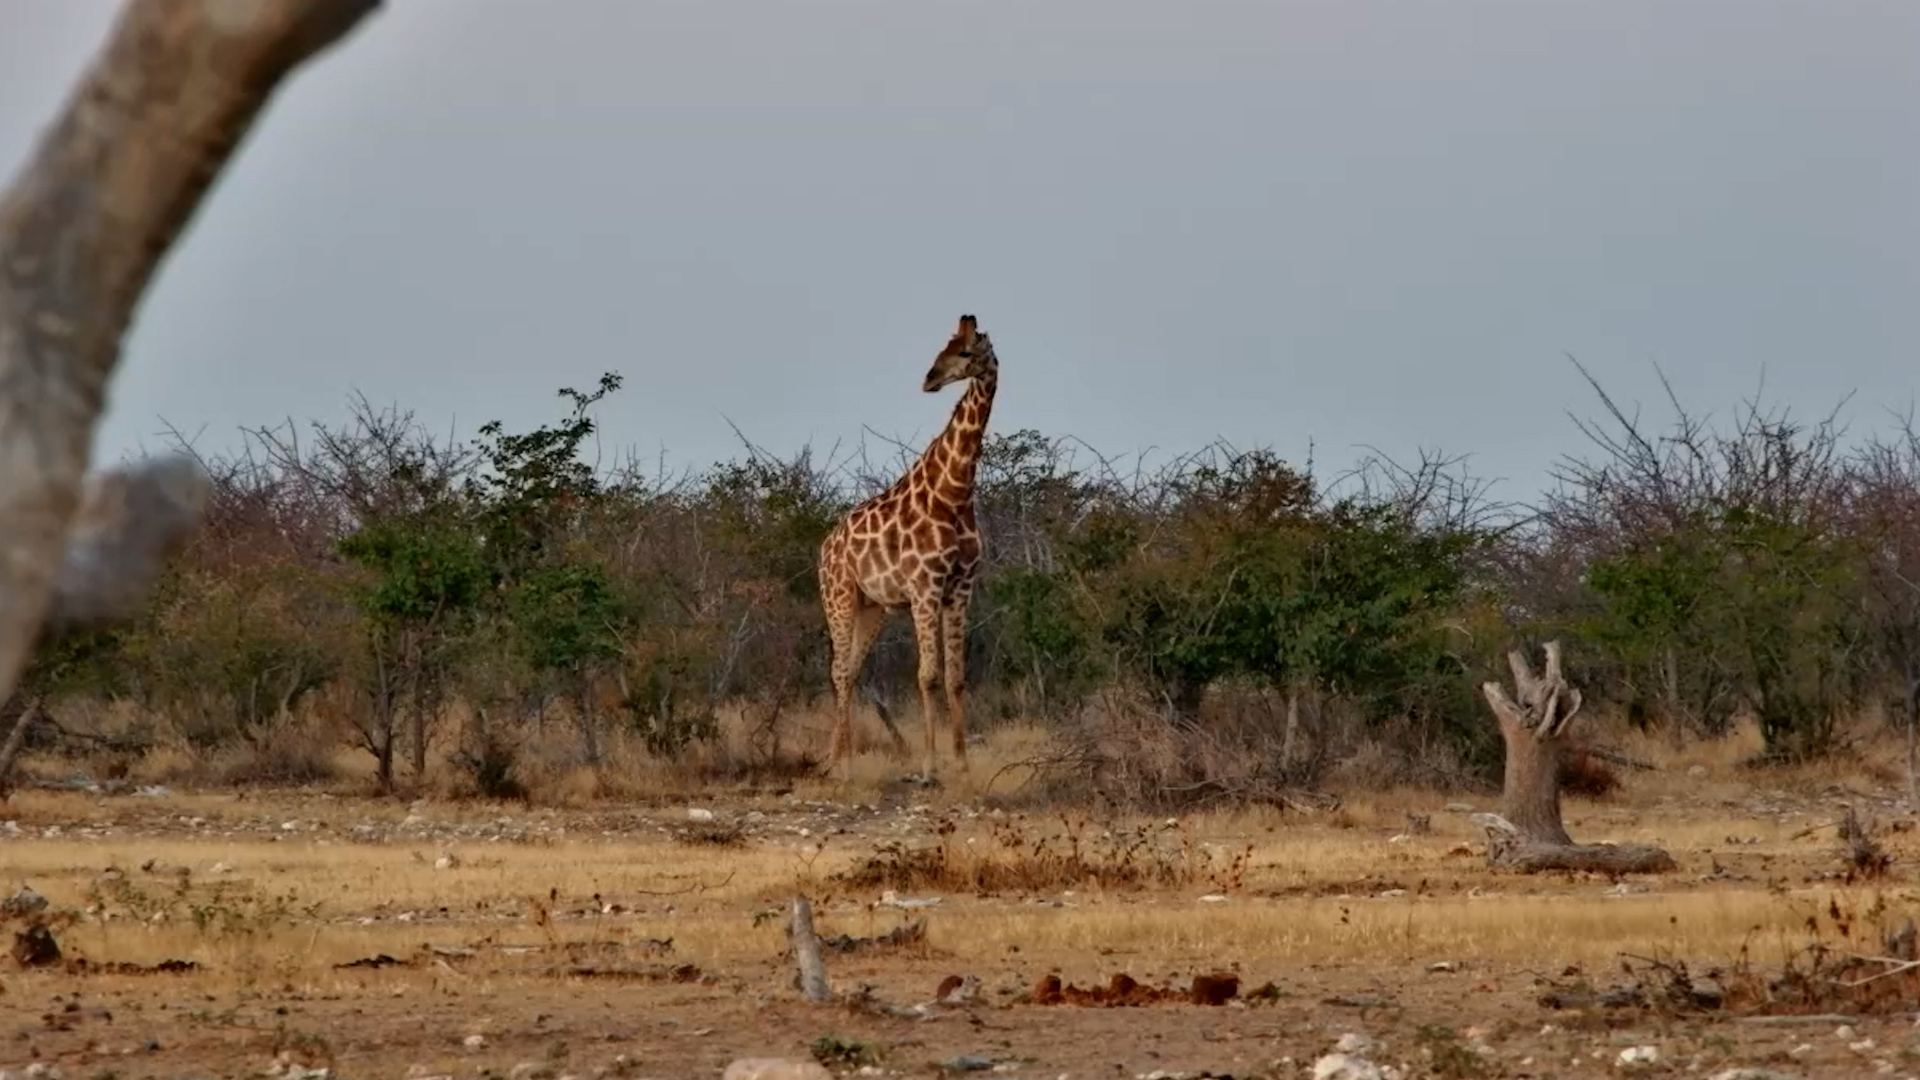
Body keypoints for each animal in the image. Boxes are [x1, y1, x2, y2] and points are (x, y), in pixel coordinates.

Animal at [818, 314, 999, 781]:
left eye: (965, 351)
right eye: (943, 348)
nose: (929, 380)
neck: (954, 493)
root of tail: (825, 545)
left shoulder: (960, 589)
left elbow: (955, 677)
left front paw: (961, 762)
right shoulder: (924, 589)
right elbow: (927, 676)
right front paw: (929, 767)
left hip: (872, 607)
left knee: (850, 670)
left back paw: (833, 760)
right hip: (838, 597)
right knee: (839, 671)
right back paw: (842, 766)